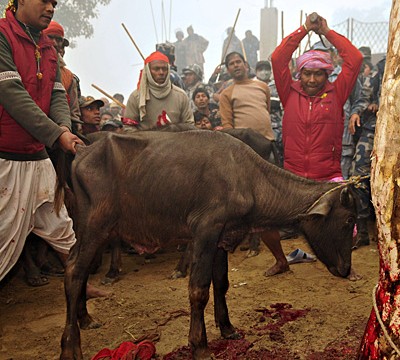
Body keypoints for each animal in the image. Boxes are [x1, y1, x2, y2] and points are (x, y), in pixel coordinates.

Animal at [61, 130, 358, 360]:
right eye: (349, 220)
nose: (346, 269)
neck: (248, 179)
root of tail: (83, 151)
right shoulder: (205, 232)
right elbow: (199, 290)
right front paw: (200, 346)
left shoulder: (222, 239)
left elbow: (222, 283)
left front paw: (227, 328)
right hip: (95, 226)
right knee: (74, 270)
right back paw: (71, 346)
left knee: (80, 270)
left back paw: (85, 319)